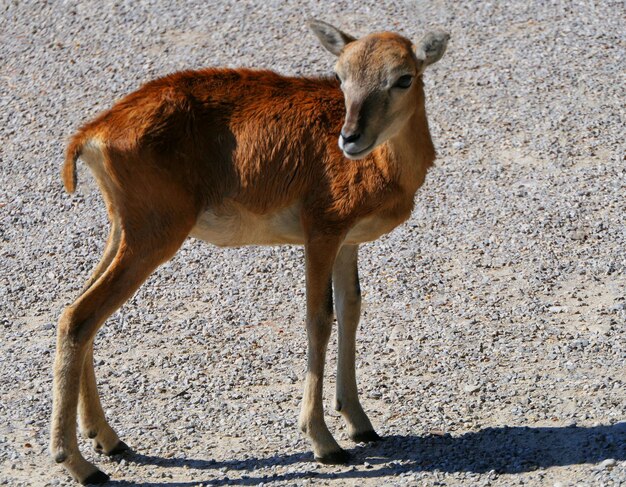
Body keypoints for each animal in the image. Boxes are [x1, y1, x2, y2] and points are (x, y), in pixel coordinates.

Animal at [51, 20, 446, 484]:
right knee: (80, 318)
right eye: (340, 76)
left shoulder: (349, 241)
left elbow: (352, 309)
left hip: (123, 230)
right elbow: (319, 319)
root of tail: (92, 134)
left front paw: (361, 424)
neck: (383, 166)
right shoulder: (322, 231)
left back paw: (108, 440)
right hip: (152, 235)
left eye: (403, 77)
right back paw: (79, 463)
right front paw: (324, 443)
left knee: (79, 314)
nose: (350, 138)